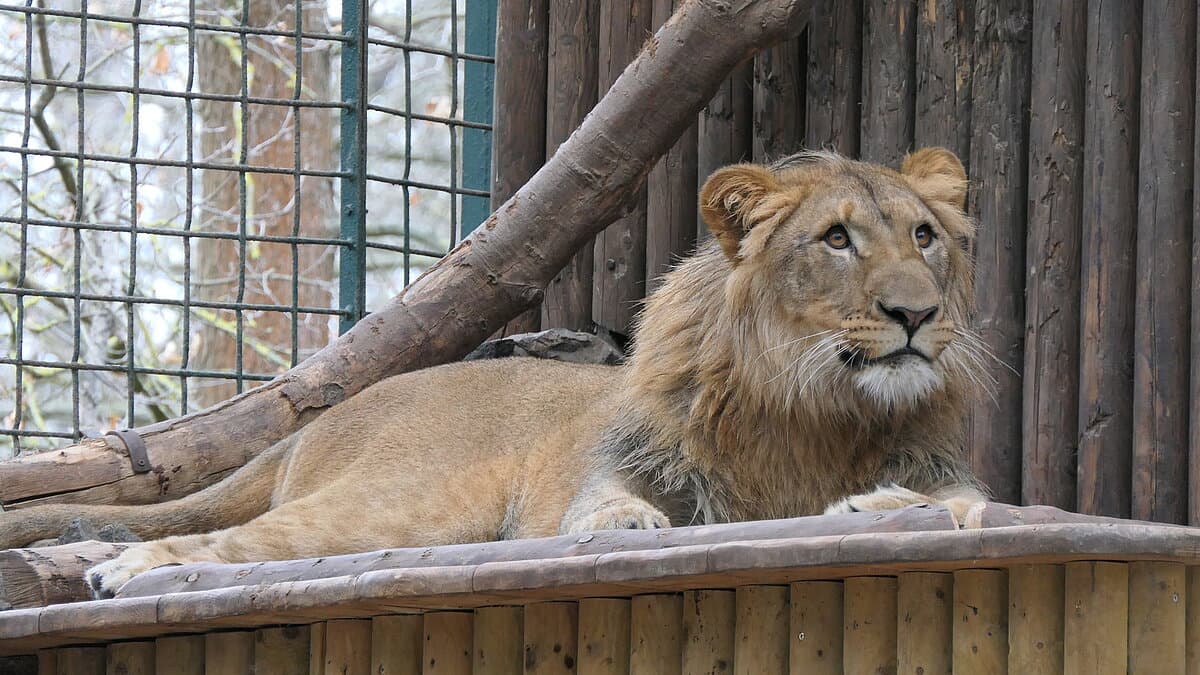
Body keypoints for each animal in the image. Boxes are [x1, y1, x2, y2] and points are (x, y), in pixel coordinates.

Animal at [0, 147, 991, 598]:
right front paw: (629, 522)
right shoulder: (621, 467)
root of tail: (332, 410)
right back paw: (127, 567)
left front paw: (880, 503)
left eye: (924, 236)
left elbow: (959, 495)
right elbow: (606, 505)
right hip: (407, 501)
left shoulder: (946, 468)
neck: (814, 405)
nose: (917, 315)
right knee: (246, 538)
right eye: (836, 239)